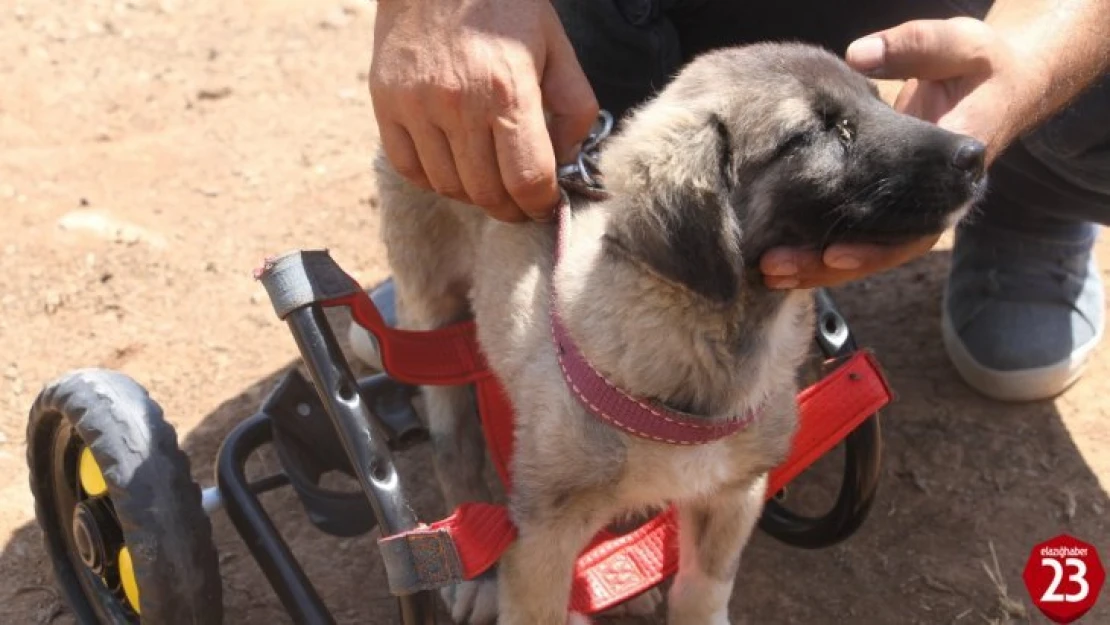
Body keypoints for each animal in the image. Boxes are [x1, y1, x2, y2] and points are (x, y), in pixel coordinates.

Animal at [352, 41, 981, 621]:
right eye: (813, 133)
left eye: (878, 101)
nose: (975, 154)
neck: (714, 336)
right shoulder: (543, 533)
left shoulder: (733, 494)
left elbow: (702, 594)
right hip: (430, 314)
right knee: (454, 446)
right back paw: (478, 576)